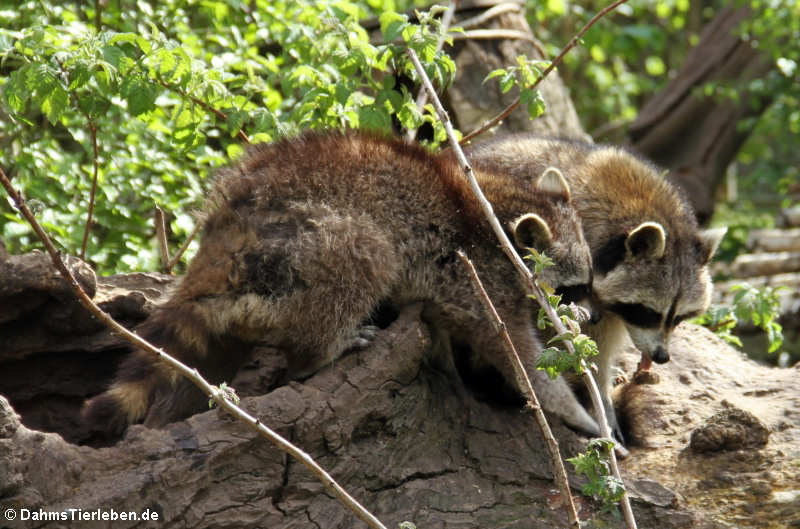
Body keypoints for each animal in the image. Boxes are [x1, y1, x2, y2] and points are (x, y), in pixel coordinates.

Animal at [84, 131, 604, 438]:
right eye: (572, 288)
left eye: (587, 284)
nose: (590, 316)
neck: (501, 207)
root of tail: (223, 235)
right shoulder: (477, 277)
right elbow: (519, 359)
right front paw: (581, 415)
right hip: (302, 244)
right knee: (365, 253)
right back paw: (320, 350)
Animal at [466, 135, 728, 442]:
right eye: (649, 313)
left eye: (678, 317)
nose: (661, 356)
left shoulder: (609, 308)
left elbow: (600, 349)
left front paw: (602, 396)